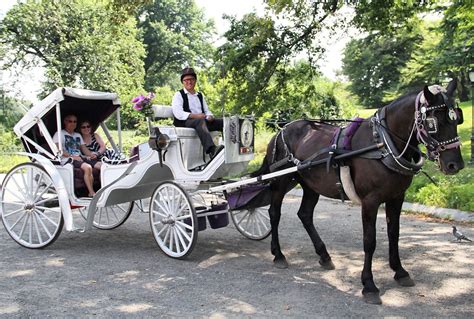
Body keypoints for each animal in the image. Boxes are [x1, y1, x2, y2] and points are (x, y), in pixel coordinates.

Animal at [254, 79, 464, 304]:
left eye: (457, 118)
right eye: (433, 122)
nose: (455, 165)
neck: (383, 143)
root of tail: (281, 131)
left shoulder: (396, 197)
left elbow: (394, 234)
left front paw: (400, 272)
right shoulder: (370, 201)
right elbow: (369, 241)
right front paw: (369, 285)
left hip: (311, 184)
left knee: (305, 214)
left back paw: (324, 255)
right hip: (281, 181)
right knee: (274, 214)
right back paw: (279, 254)